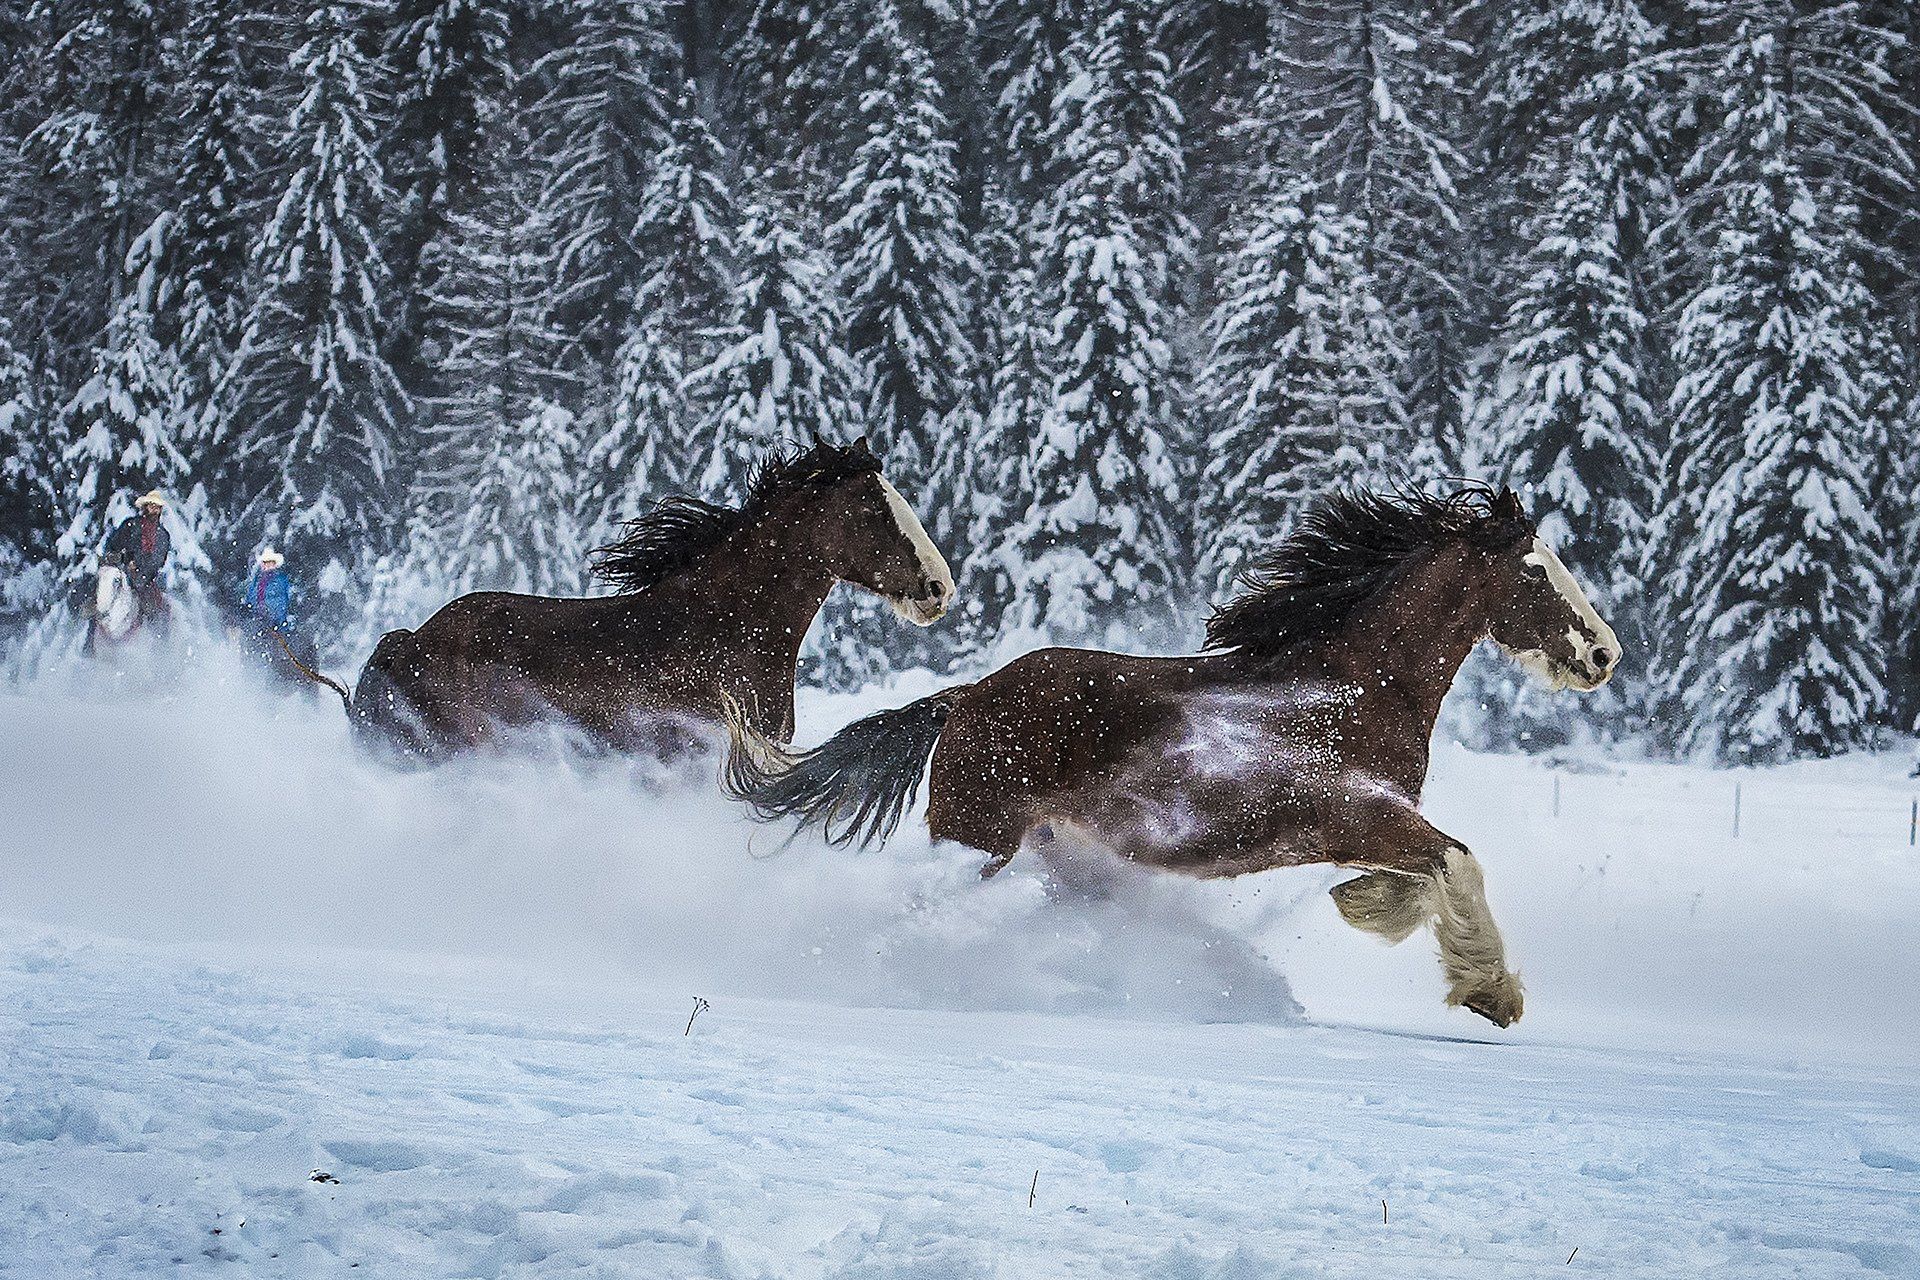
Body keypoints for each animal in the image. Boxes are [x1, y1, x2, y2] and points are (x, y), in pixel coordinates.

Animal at [725, 485, 1620, 1029]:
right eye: (1536, 571)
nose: (1604, 653)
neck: (1357, 686)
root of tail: (967, 695)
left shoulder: (1358, 827)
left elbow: (1427, 871)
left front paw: (1368, 904)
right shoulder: (1356, 812)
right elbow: (1458, 859)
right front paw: (1490, 991)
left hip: (1057, 854)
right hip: (979, 837)